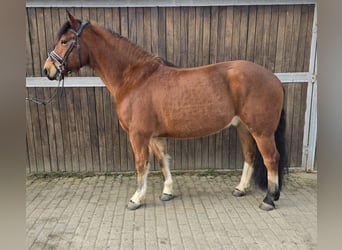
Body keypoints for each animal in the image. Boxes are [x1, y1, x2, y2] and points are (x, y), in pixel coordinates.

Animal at [44, 11, 288, 211]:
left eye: (64, 41)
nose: (47, 70)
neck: (135, 79)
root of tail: (273, 78)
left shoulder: (138, 135)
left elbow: (141, 165)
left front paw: (136, 199)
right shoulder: (154, 136)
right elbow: (163, 162)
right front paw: (167, 192)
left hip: (261, 131)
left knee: (271, 158)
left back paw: (269, 199)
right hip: (243, 127)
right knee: (250, 155)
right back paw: (241, 188)